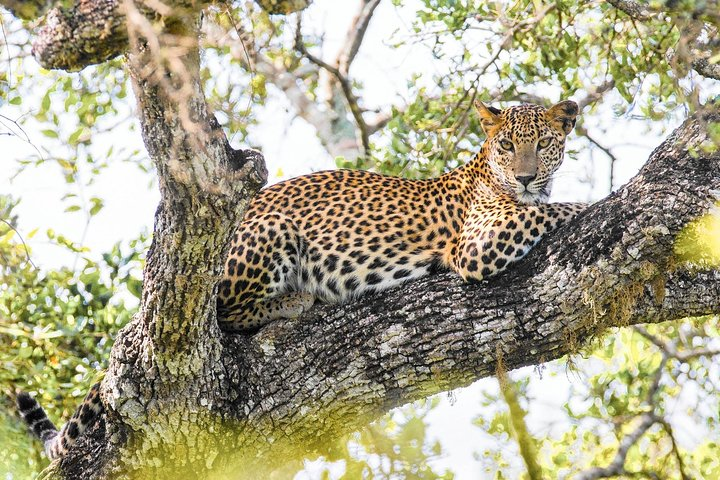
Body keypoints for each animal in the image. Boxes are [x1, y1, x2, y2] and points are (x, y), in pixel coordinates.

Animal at [16, 98, 588, 462]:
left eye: (542, 143)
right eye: (507, 145)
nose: (526, 176)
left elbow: (548, 205)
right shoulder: (475, 246)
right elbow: (557, 209)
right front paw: (590, 203)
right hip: (272, 232)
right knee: (227, 312)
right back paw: (297, 301)